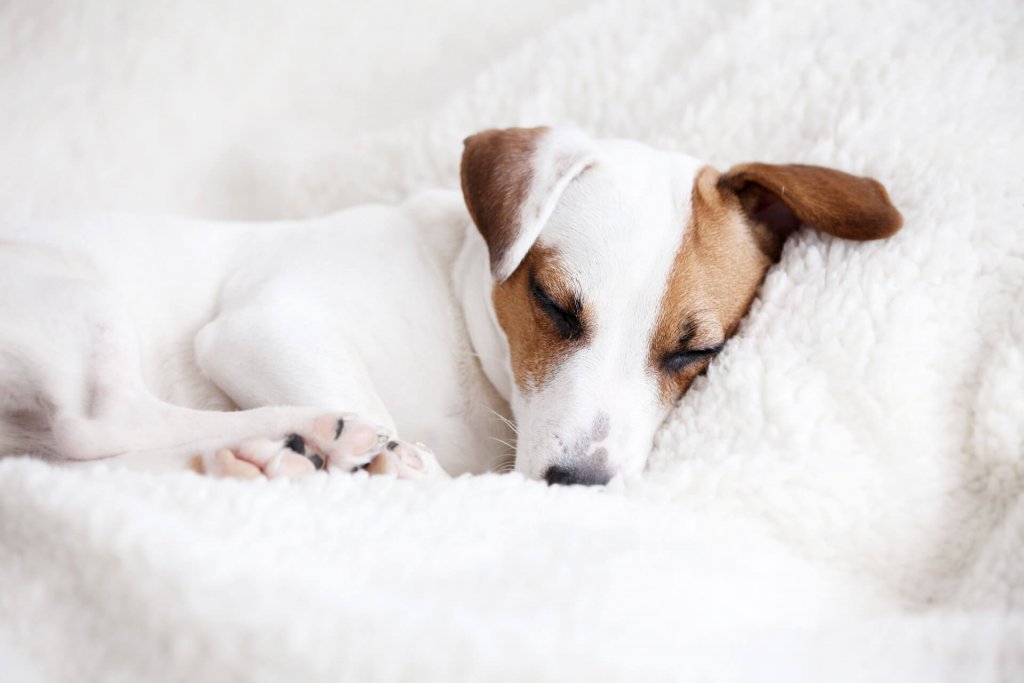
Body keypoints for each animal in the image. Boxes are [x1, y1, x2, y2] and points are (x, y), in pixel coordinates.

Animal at [0, 125, 901, 483]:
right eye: (554, 304)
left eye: (694, 350)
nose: (577, 483)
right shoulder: (264, 325)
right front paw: (390, 454)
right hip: (79, 301)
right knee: (98, 419)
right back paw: (313, 437)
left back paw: (262, 454)